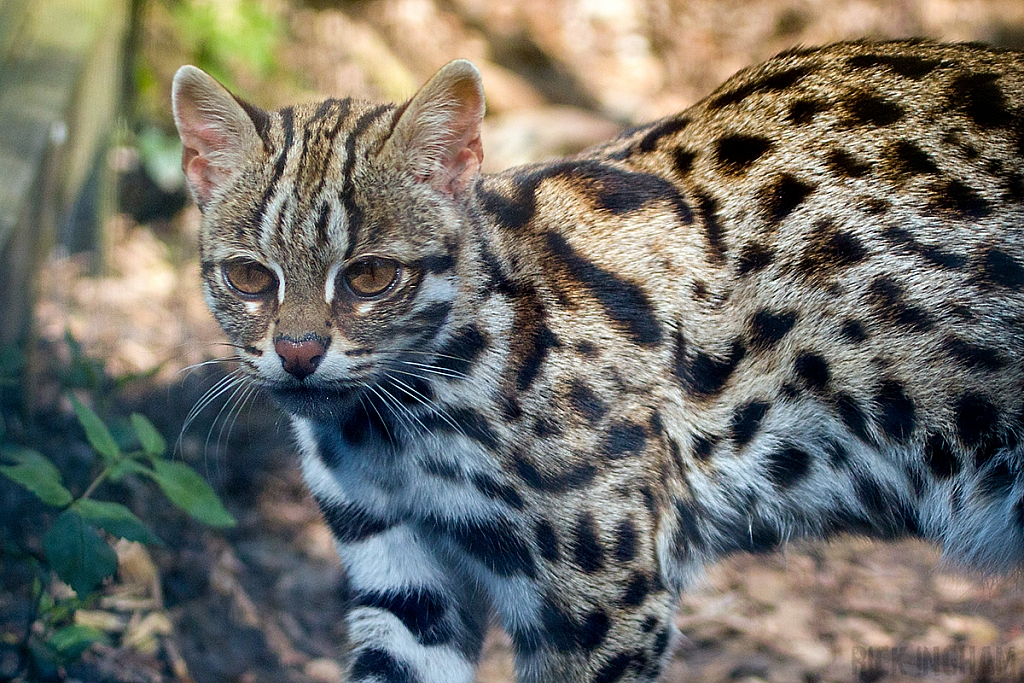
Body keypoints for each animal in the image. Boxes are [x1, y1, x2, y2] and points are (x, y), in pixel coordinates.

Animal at [172, 41, 1024, 683]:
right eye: (247, 277)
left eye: (373, 276)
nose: (297, 354)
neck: (387, 428)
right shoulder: (401, 577)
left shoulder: (599, 597)